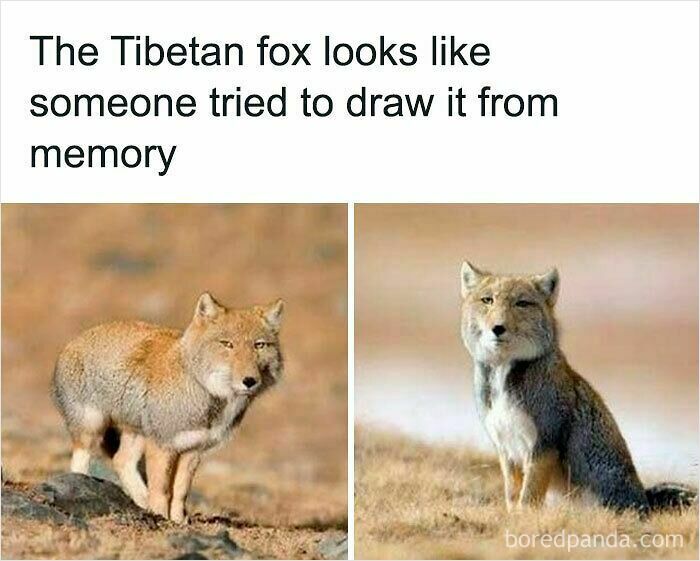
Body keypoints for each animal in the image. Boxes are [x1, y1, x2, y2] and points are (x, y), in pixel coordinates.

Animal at [52, 292, 284, 523]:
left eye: (259, 345)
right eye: (227, 344)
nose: (249, 381)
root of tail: (74, 341)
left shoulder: (192, 449)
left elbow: (180, 491)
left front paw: (178, 521)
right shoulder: (162, 445)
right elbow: (162, 489)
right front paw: (161, 517)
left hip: (136, 434)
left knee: (121, 461)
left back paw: (142, 501)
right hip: (91, 430)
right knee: (81, 463)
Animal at [459, 261, 696, 514]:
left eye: (522, 303)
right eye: (488, 300)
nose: (498, 328)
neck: (503, 377)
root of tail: (645, 501)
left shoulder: (543, 444)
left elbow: (528, 497)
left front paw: (523, 517)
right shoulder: (506, 448)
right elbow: (513, 497)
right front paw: (513, 516)